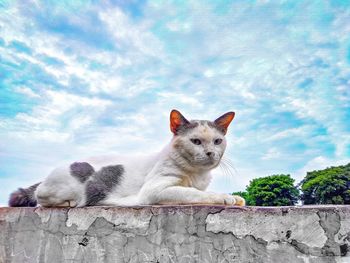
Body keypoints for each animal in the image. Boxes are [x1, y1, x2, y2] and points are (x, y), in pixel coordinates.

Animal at [8, 110, 245, 208]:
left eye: (217, 141)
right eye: (195, 141)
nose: (210, 153)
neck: (197, 175)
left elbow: (198, 191)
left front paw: (236, 197)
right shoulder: (154, 190)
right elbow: (194, 193)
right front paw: (225, 198)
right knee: (40, 196)